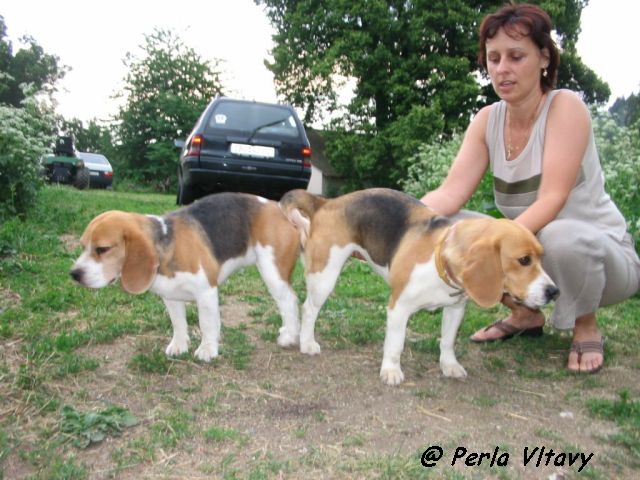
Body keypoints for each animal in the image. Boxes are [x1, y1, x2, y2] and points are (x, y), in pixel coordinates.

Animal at [71, 192, 302, 361]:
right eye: (82, 246)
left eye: (102, 249)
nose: (74, 274)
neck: (166, 244)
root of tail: (278, 207)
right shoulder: (170, 296)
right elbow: (178, 323)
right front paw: (179, 345)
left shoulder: (206, 292)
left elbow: (207, 323)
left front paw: (208, 350)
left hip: (272, 272)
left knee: (289, 300)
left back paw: (289, 335)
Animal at [279, 188, 559, 385]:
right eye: (524, 260)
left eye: (541, 257)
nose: (554, 292)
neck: (439, 262)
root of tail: (326, 202)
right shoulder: (398, 308)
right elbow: (395, 344)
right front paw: (391, 370)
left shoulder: (456, 309)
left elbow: (447, 341)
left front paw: (449, 365)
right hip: (324, 276)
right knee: (309, 309)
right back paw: (307, 342)